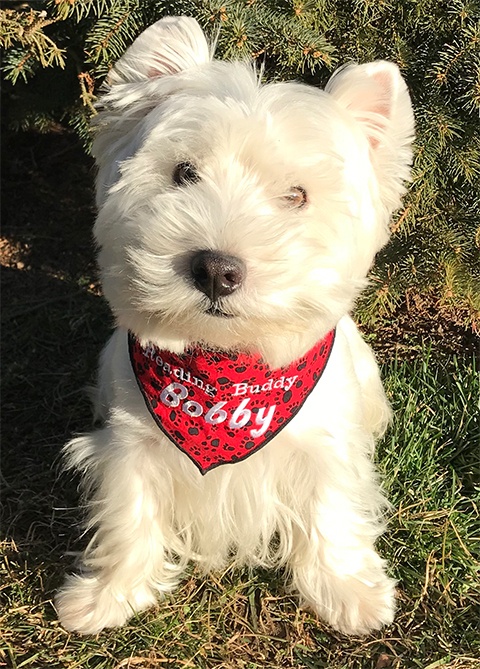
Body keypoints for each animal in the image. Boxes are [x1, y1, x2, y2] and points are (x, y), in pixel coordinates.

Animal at [55, 13, 412, 636]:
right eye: (183, 172)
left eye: (296, 195)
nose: (216, 269)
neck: (228, 365)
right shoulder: (130, 446)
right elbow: (130, 513)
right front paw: (106, 596)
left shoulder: (325, 445)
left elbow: (333, 509)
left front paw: (350, 593)